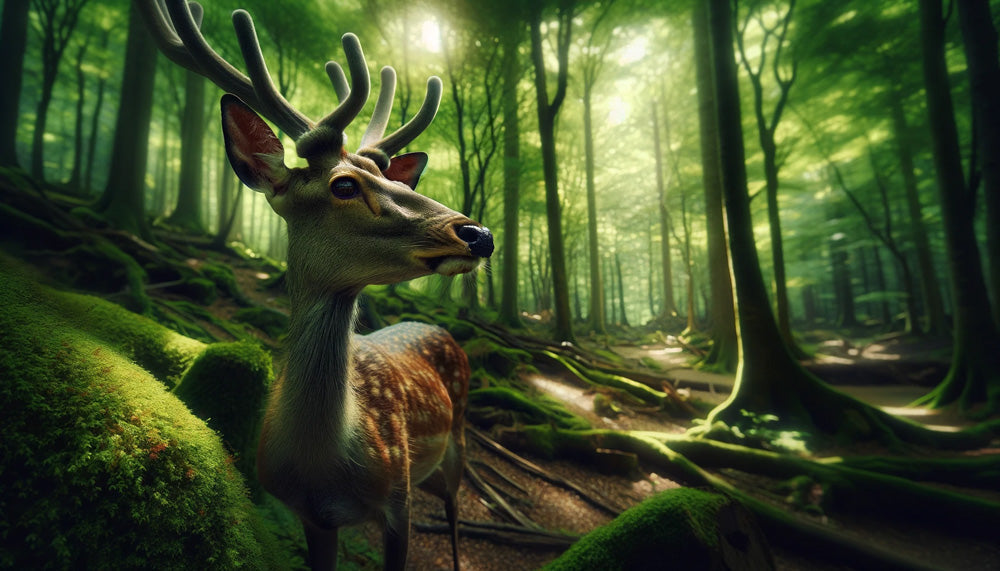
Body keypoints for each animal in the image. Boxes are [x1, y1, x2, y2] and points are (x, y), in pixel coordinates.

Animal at [136, 1, 494, 569]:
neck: (323, 465)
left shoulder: (398, 499)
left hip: (457, 439)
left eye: (392, 180)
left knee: (456, 510)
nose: (479, 233)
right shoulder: (312, 518)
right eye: (344, 185)